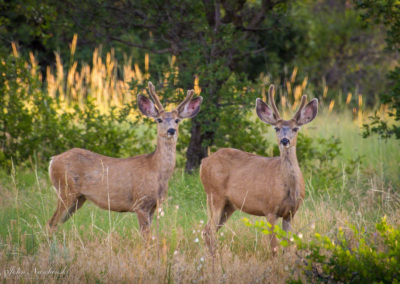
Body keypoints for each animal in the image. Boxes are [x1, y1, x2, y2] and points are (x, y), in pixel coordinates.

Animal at [47, 82, 203, 237]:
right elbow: (145, 237)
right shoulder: (140, 203)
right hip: (65, 189)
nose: (171, 130)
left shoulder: (153, 206)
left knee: (55, 223)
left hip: (78, 198)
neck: (156, 171)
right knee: (51, 222)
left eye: (177, 120)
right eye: (159, 119)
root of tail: (53, 160)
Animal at [202, 84, 318, 253]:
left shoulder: (290, 213)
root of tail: (204, 162)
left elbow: (287, 245)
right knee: (209, 230)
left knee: (207, 230)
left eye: (296, 128)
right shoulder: (269, 209)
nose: (285, 140)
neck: (288, 187)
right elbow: (274, 247)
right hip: (214, 195)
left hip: (229, 205)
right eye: (276, 128)